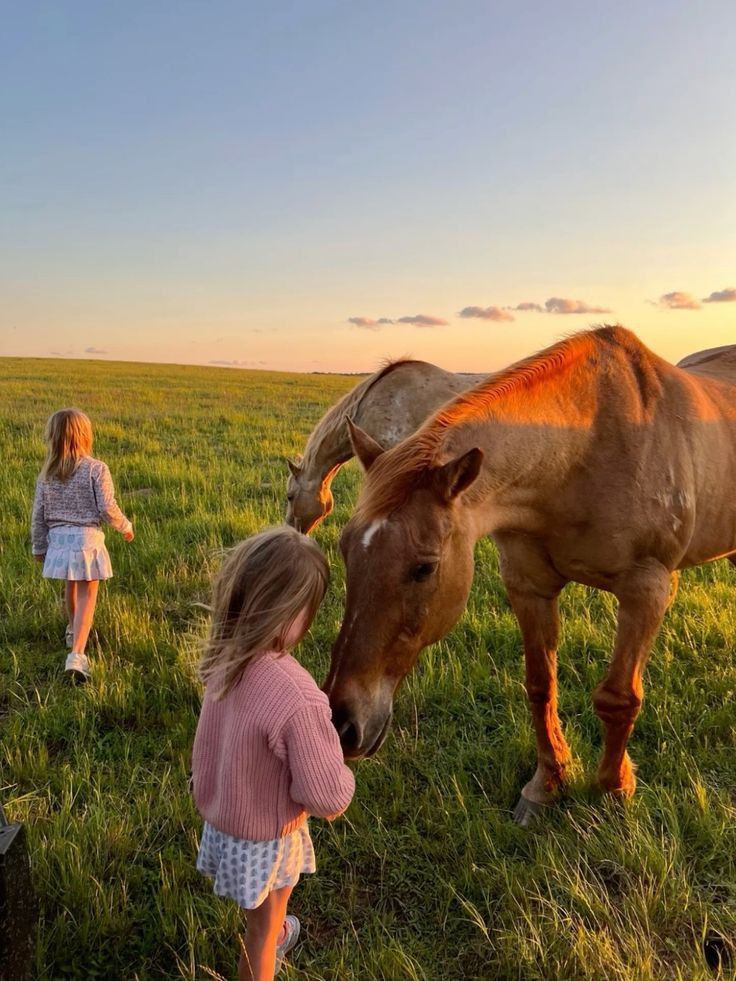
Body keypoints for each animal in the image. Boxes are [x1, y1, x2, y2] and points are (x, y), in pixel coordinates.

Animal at [324, 326, 736, 824]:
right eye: (346, 551)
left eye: (424, 568)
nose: (341, 724)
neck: (584, 447)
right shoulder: (528, 584)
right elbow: (541, 687)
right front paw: (547, 785)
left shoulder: (647, 590)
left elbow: (619, 698)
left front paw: (613, 790)